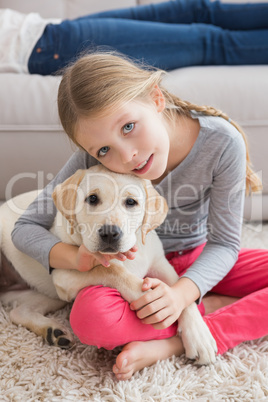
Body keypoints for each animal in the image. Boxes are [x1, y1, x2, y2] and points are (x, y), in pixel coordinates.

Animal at [0, 165, 217, 362]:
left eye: (131, 202)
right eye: (92, 199)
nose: (110, 233)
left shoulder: (161, 264)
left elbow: (179, 291)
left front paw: (199, 337)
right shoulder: (64, 274)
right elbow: (112, 270)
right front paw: (146, 295)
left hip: (48, 295)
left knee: (18, 312)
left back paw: (53, 332)